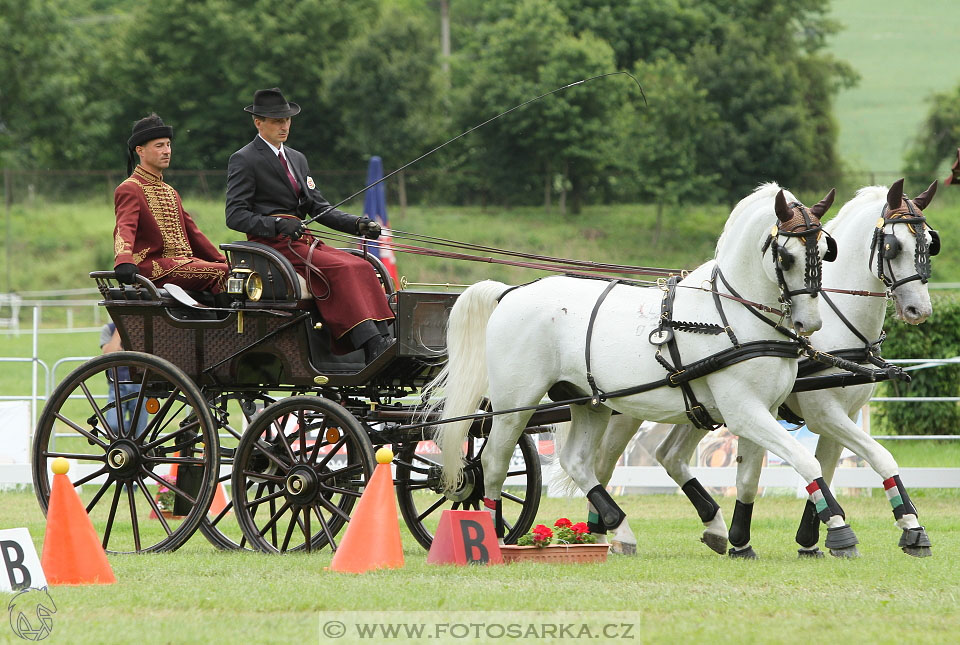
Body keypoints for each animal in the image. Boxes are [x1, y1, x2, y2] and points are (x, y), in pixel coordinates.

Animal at [428, 182, 848, 552]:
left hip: (588, 402)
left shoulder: (762, 409)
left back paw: (619, 529)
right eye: (786, 257)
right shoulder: (743, 410)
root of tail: (511, 292)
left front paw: (739, 541)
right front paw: (840, 529)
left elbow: (749, 477)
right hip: (514, 403)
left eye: (827, 250)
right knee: (493, 463)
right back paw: (491, 534)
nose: (810, 323)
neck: (734, 315)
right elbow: (804, 459)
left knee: (579, 461)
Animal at [584, 179, 936, 556]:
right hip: (629, 411)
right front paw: (860, 530)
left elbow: (850, 463)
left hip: (697, 406)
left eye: (930, 243)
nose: (919, 309)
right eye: (893, 246)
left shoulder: (844, 414)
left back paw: (708, 528)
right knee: (602, 465)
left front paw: (813, 539)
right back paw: (606, 534)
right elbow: (866, 458)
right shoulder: (824, 413)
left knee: (668, 455)